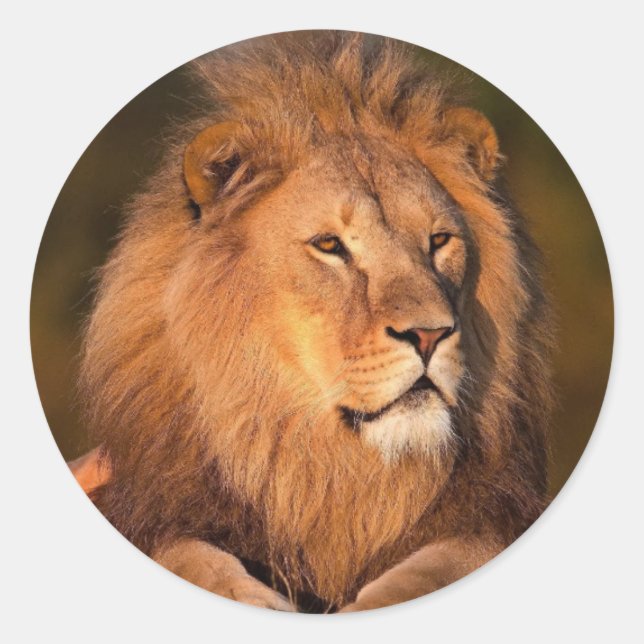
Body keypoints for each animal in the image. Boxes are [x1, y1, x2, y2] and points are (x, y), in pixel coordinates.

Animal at [71, 32, 553, 612]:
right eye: (329, 245)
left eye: (439, 240)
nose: (429, 334)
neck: (326, 471)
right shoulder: (162, 508)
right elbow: (193, 559)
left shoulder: (487, 514)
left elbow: (438, 567)